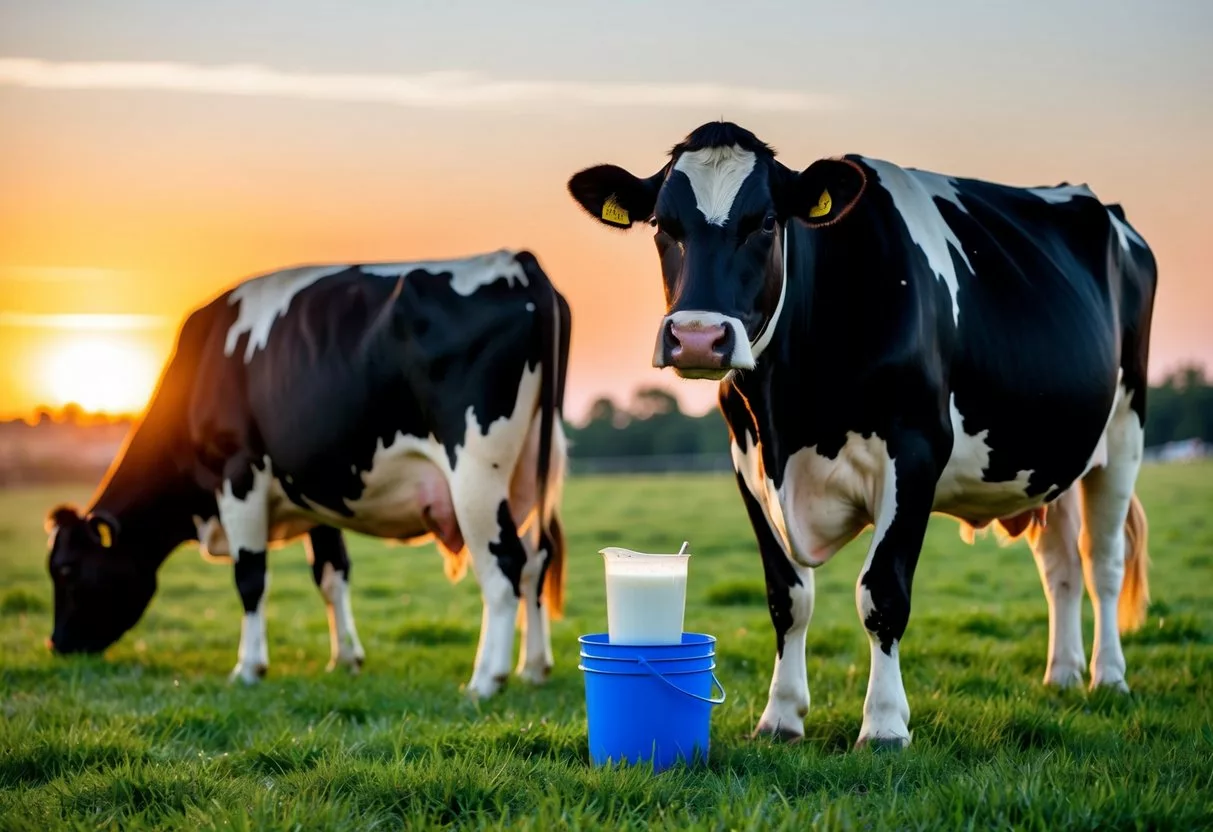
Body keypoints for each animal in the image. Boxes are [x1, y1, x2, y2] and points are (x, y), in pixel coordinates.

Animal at [47, 249, 572, 698]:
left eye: (67, 569)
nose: (57, 644)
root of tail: (515, 260)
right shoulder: (314, 490)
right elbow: (331, 573)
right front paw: (345, 659)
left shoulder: (238, 474)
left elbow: (250, 576)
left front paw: (248, 667)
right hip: (532, 470)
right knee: (535, 561)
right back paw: (533, 667)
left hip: (476, 471)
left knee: (504, 564)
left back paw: (485, 680)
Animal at [567, 118, 1154, 751]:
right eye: (662, 225)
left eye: (766, 222)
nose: (698, 338)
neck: (791, 411)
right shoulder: (748, 462)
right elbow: (787, 597)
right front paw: (781, 715)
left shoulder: (915, 453)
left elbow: (882, 593)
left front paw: (885, 725)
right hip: (1052, 461)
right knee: (1060, 565)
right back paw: (1062, 675)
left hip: (1124, 434)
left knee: (1103, 562)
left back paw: (1108, 677)